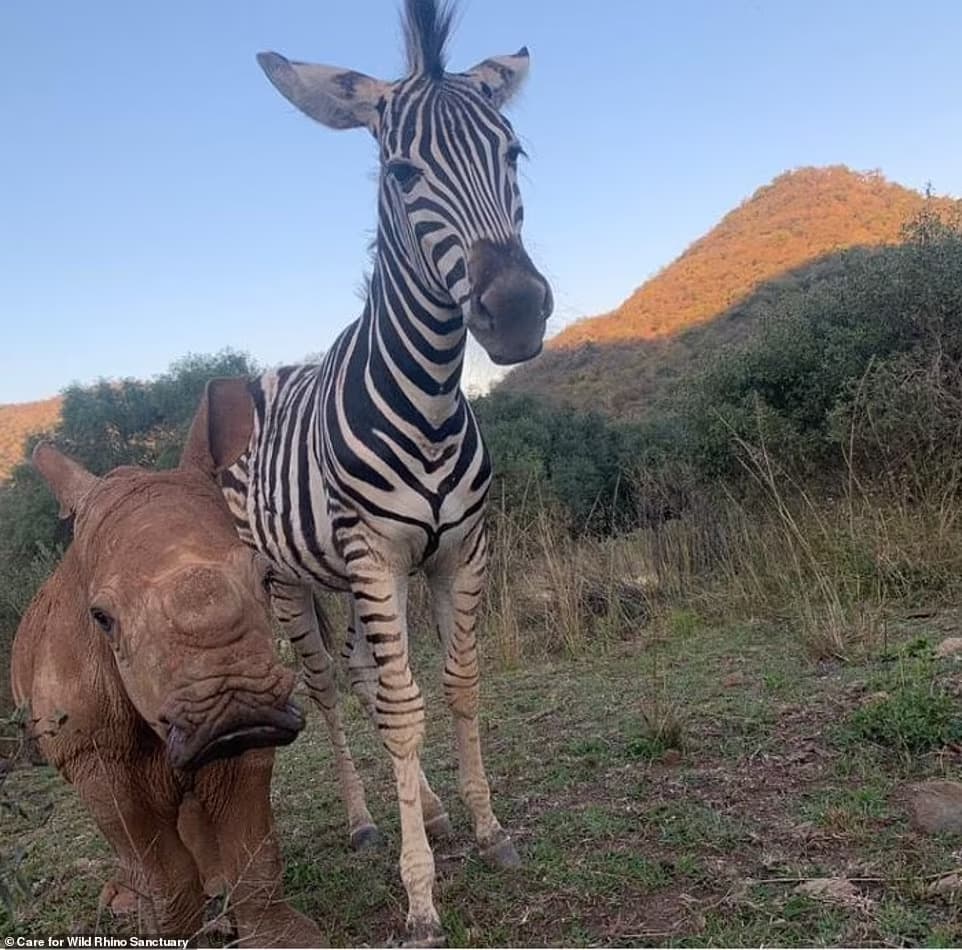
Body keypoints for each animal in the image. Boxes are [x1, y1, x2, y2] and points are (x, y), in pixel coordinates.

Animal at [10, 382, 322, 950]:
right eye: (101, 618)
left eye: (268, 579)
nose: (234, 707)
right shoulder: (89, 750)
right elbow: (162, 872)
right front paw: (166, 929)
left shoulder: (256, 724)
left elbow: (254, 849)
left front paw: (285, 939)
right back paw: (128, 902)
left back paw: (212, 886)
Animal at [223, 3, 548, 944]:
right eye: (402, 174)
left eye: (514, 153)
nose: (517, 310)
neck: (432, 397)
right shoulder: (375, 554)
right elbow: (404, 713)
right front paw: (421, 895)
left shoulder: (457, 551)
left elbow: (459, 686)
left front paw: (485, 828)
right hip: (286, 581)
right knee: (334, 691)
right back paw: (369, 821)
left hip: (350, 578)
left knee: (368, 680)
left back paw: (429, 810)